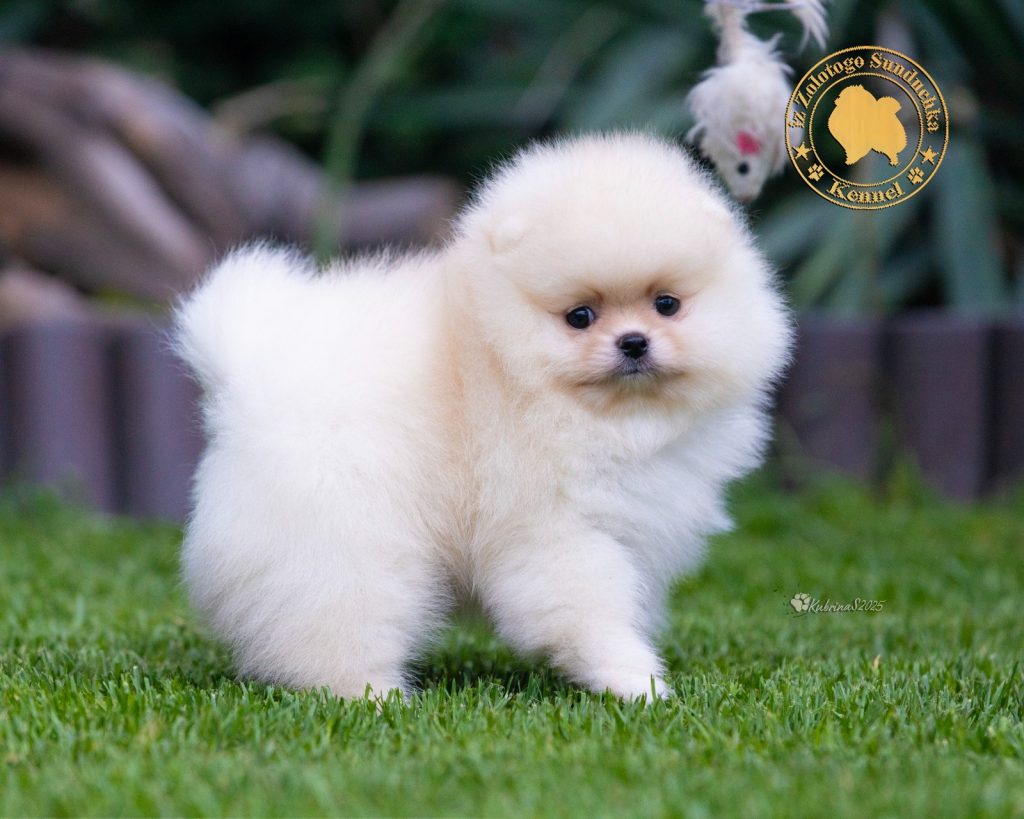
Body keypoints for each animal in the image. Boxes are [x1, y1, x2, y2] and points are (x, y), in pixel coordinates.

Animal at [174, 132, 792, 700]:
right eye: (580, 316)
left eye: (667, 304)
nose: (634, 342)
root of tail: (242, 377)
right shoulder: (554, 528)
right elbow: (589, 609)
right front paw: (634, 680)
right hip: (341, 538)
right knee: (335, 623)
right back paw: (376, 695)